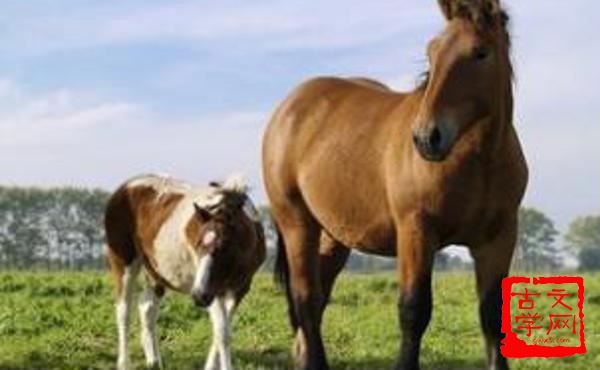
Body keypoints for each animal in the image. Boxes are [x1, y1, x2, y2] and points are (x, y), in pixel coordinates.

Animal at [105, 173, 264, 370]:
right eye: (197, 244)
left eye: (225, 246)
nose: (198, 295)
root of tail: (124, 187)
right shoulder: (213, 289)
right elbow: (222, 333)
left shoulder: (239, 289)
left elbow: (221, 331)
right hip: (123, 261)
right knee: (124, 310)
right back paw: (124, 363)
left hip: (156, 273)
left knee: (147, 308)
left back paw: (154, 361)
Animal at [264, 0, 528, 370]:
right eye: (432, 53)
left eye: (480, 52)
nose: (426, 137)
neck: (480, 160)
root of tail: (290, 106)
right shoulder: (416, 231)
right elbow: (414, 310)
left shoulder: (499, 237)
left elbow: (491, 315)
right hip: (297, 224)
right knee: (305, 296)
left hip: (333, 236)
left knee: (317, 299)